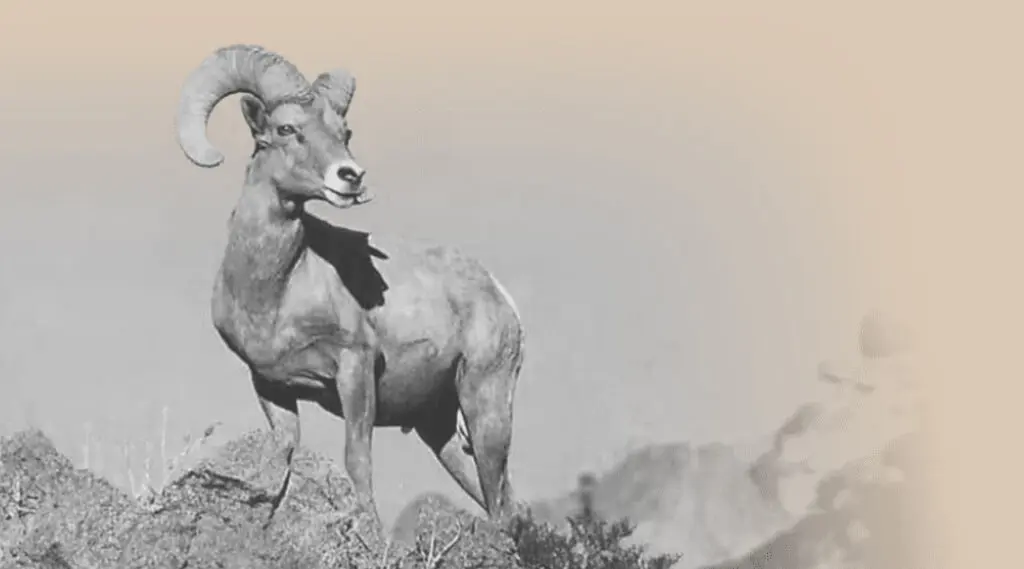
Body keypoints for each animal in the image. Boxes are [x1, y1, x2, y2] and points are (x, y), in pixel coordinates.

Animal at [174, 44, 525, 542]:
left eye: (344, 132)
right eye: (286, 129)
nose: (350, 176)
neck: (275, 292)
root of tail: (499, 295)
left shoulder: (354, 371)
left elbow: (357, 460)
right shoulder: (270, 387)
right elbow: (283, 459)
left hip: (486, 406)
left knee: (501, 504)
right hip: (441, 432)